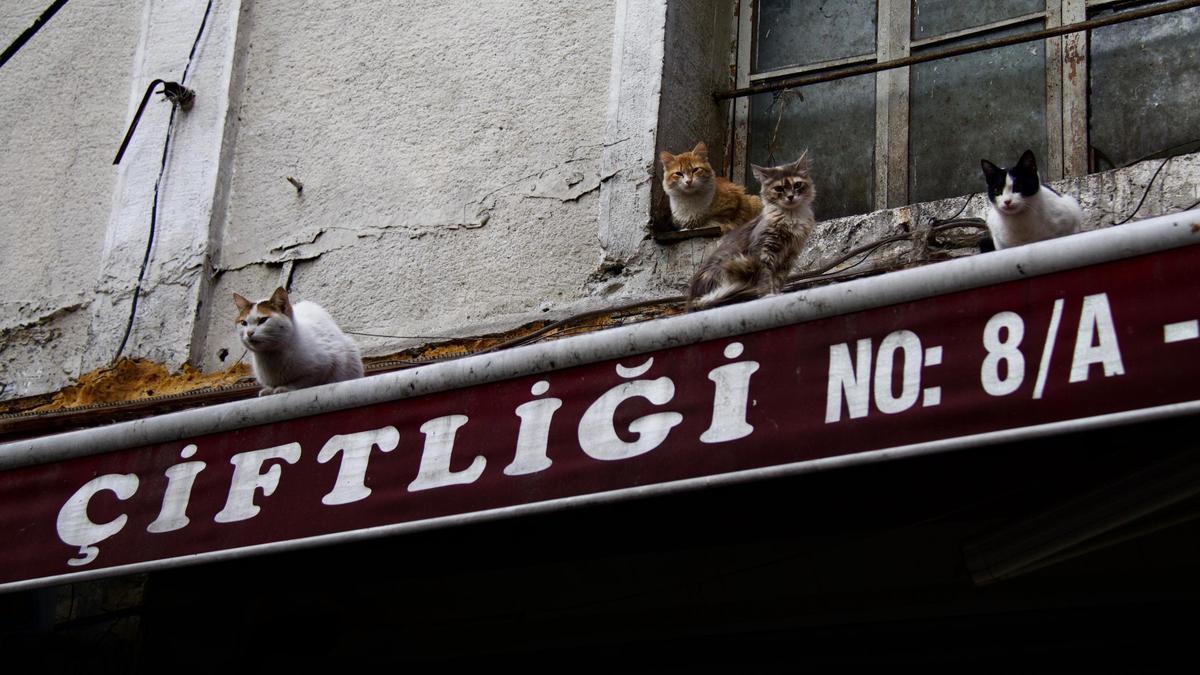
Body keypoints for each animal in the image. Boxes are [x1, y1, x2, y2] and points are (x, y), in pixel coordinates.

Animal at [231, 284, 362, 393]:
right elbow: (271, 386)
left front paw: (286, 387)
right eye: (243, 323)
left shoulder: (325, 366)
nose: (249, 333)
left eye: (263, 320)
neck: (270, 356)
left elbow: (303, 381)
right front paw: (269, 390)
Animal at [686, 152, 816, 309]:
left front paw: (777, 293)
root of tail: (694, 301)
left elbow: (777, 280)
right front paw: (768, 295)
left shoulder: (788, 257)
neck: (791, 217)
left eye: (797, 185)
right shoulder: (762, 251)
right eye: (779, 189)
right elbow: (766, 278)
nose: (790, 197)